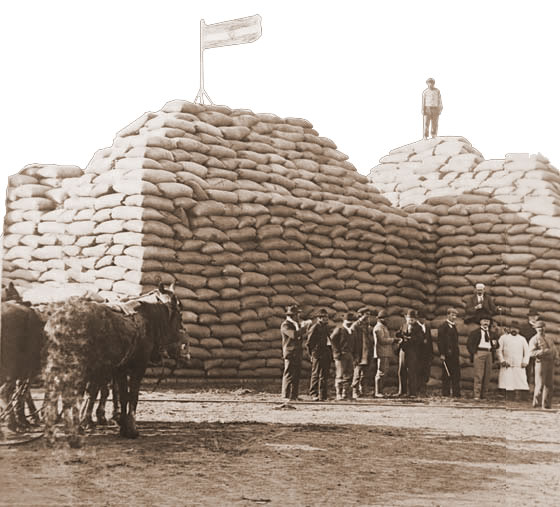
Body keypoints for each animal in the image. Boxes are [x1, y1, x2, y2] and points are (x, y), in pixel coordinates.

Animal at [41, 284, 189, 446]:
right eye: (180, 313)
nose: (184, 350)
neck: (145, 319)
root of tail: (59, 320)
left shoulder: (120, 369)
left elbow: (122, 395)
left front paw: (123, 425)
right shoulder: (138, 366)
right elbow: (132, 395)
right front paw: (131, 428)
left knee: (56, 391)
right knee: (71, 394)